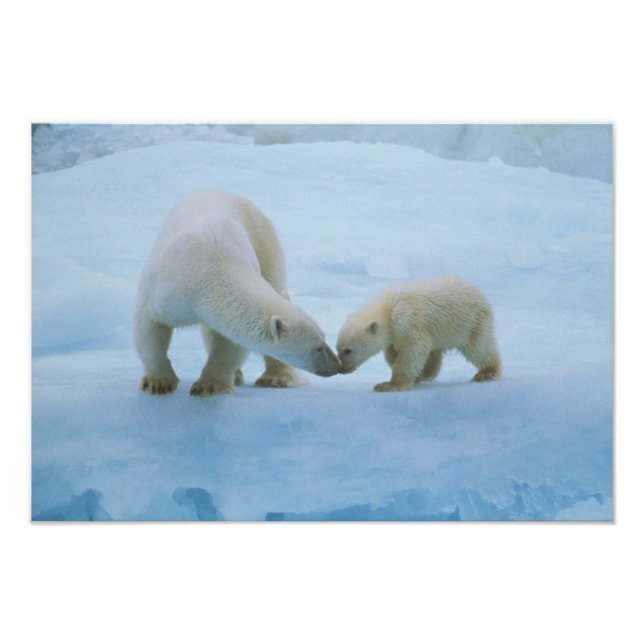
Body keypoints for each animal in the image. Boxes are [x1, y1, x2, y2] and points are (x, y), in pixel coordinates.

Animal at [134, 190, 341, 395]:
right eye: (318, 347)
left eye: (323, 337)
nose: (337, 364)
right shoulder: (164, 288)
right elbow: (150, 326)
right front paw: (158, 383)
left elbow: (229, 342)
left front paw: (209, 385)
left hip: (264, 244)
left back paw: (275, 378)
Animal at [336, 276, 501, 392]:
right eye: (337, 349)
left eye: (347, 350)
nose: (342, 369)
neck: (387, 309)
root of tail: (477, 291)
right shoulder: (396, 334)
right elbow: (393, 352)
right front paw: (417, 376)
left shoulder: (408, 323)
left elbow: (413, 350)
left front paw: (389, 385)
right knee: (435, 351)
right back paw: (430, 371)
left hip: (471, 323)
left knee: (479, 348)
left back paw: (487, 372)